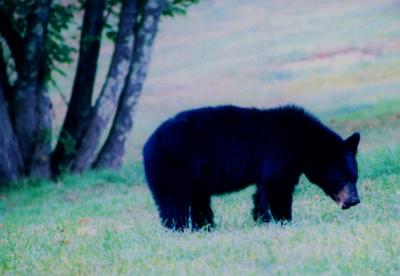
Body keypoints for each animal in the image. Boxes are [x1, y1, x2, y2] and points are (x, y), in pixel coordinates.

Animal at [143, 104, 360, 230]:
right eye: (342, 178)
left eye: (355, 176)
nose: (354, 200)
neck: (305, 142)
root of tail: (148, 145)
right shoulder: (279, 152)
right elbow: (277, 187)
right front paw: (284, 220)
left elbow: (263, 192)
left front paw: (262, 219)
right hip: (174, 166)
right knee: (174, 202)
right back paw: (178, 228)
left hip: (194, 178)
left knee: (199, 201)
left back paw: (205, 227)